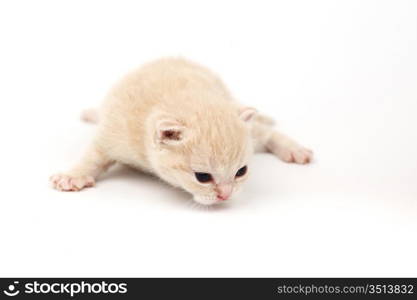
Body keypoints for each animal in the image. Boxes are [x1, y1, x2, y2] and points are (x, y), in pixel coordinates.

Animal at [50, 57, 312, 205]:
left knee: (264, 131)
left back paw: (293, 149)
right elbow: (93, 155)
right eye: (202, 177)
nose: (226, 195)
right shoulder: (114, 131)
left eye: (241, 172)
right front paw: (74, 175)